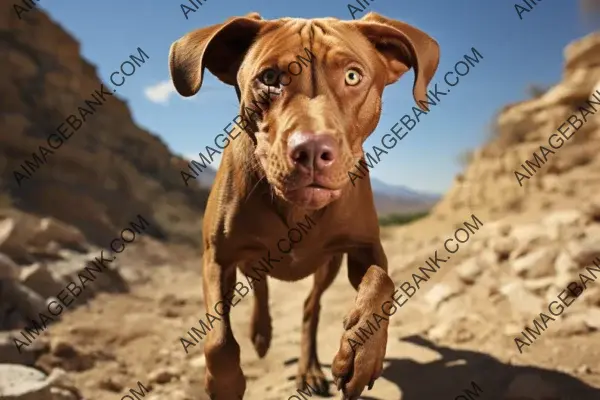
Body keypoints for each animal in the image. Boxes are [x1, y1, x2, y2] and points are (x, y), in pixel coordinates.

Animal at [169, 10, 440, 398]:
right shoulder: (217, 257)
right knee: (260, 285)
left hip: (327, 265)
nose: (311, 150)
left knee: (311, 307)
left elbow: (381, 281)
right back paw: (261, 333)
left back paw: (308, 369)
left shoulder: (365, 246)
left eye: (353, 76)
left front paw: (362, 353)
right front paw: (225, 382)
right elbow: (218, 339)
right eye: (269, 78)